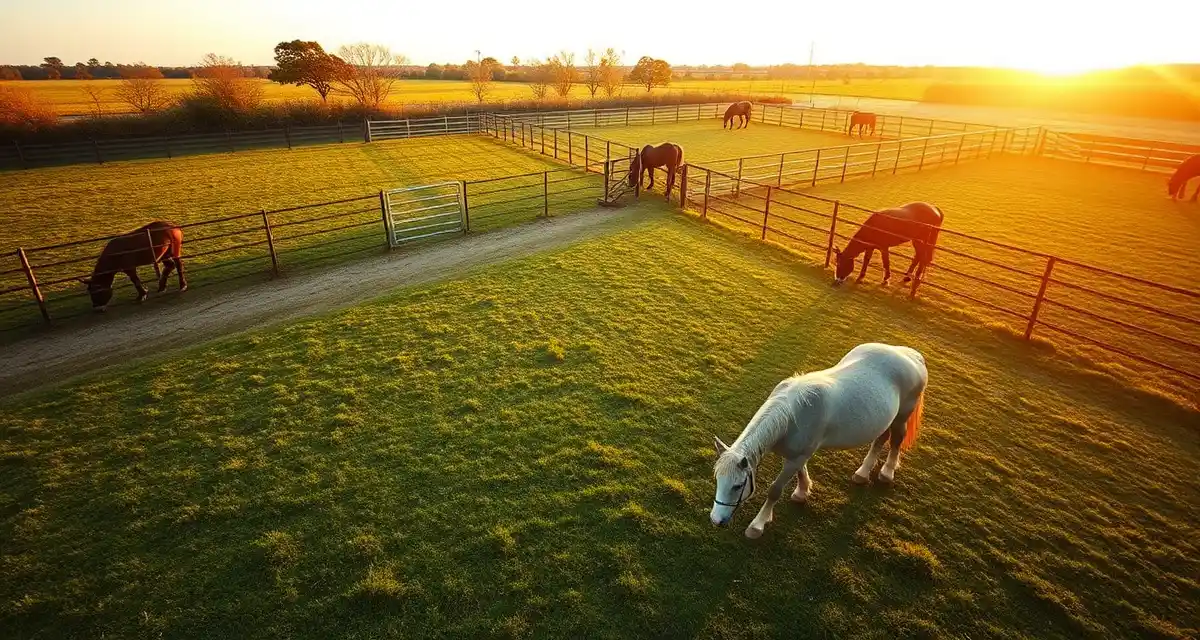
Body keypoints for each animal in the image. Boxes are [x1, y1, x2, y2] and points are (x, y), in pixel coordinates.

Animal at [711, 342, 928, 538]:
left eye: (738, 485)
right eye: (718, 480)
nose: (716, 520)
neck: (792, 413)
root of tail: (910, 354)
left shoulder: (798, 455)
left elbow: (775, 490)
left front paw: (758, 525)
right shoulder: (797, 453)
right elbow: (801, 471)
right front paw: (802, 492)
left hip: (902, 415)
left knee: (896, 440)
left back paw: (887, 472)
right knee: (880, 440)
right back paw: (863, 473)